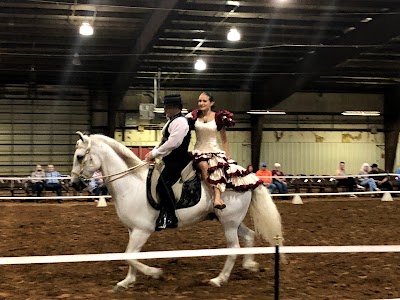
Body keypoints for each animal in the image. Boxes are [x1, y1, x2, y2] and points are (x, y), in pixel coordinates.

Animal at [70, 132, 286, 290]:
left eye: (80, 157)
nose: (74, 184)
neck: (132, 184)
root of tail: (249, 176)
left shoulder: (142, 231)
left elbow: (130, 255)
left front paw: (155, 273)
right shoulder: (133, 230)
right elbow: (130, 255)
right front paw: (127, 281)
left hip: (229, 223)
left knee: (233, 249)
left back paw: (219, 279)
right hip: (231, 221)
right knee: (249, 236)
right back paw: (250, 265)